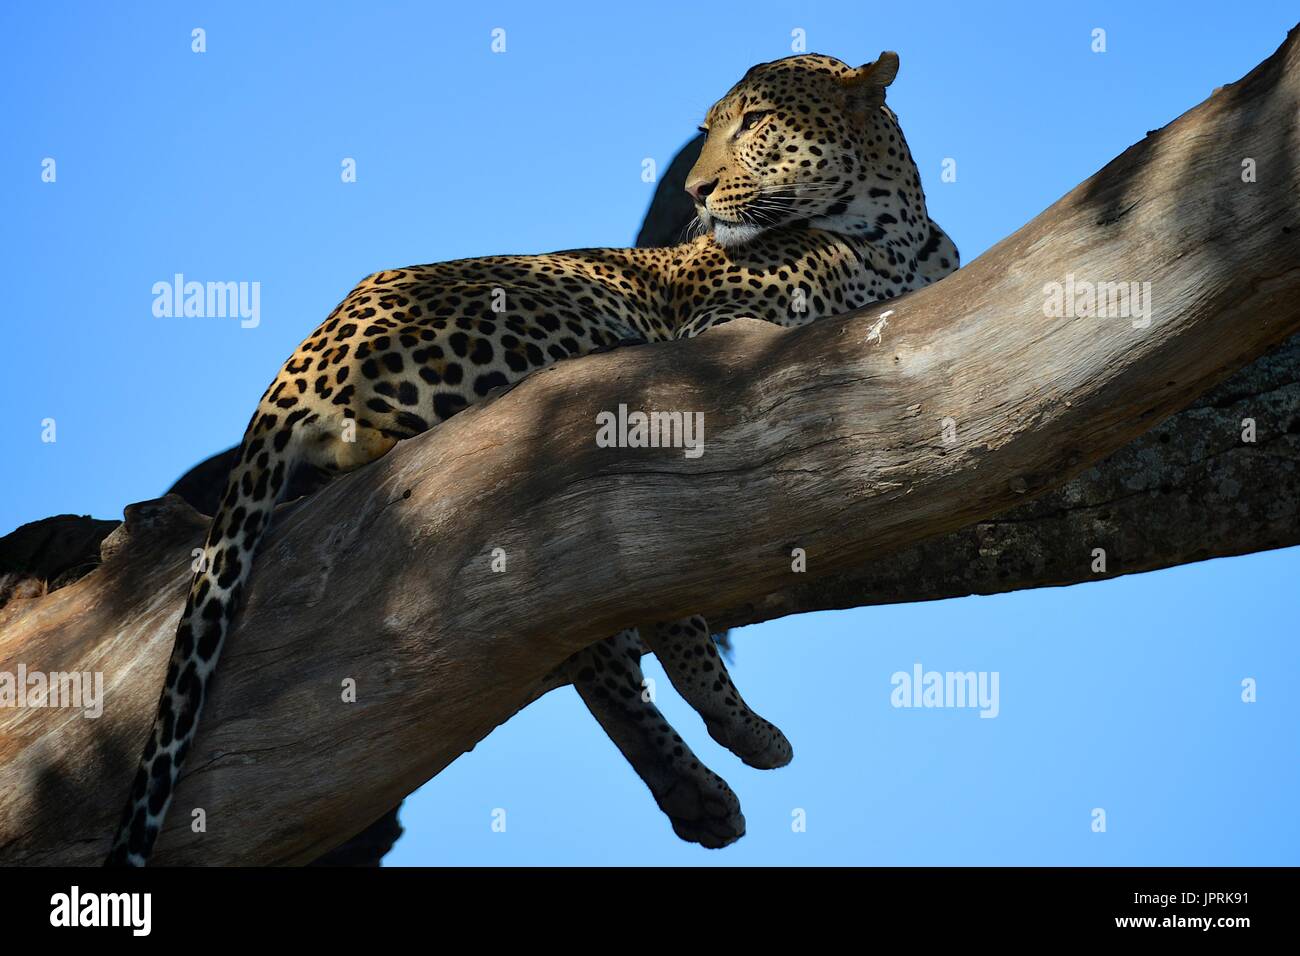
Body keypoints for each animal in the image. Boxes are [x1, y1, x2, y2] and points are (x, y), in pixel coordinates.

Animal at [109, 46, 956, 868]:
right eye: (711, 129)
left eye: (753, 122)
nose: (698, 189)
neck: (894, 232)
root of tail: (292, 371)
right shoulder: (713, 333)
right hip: (571, 319)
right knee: (625, 602)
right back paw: (738, 733)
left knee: (587, 636)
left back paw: (695, 793)